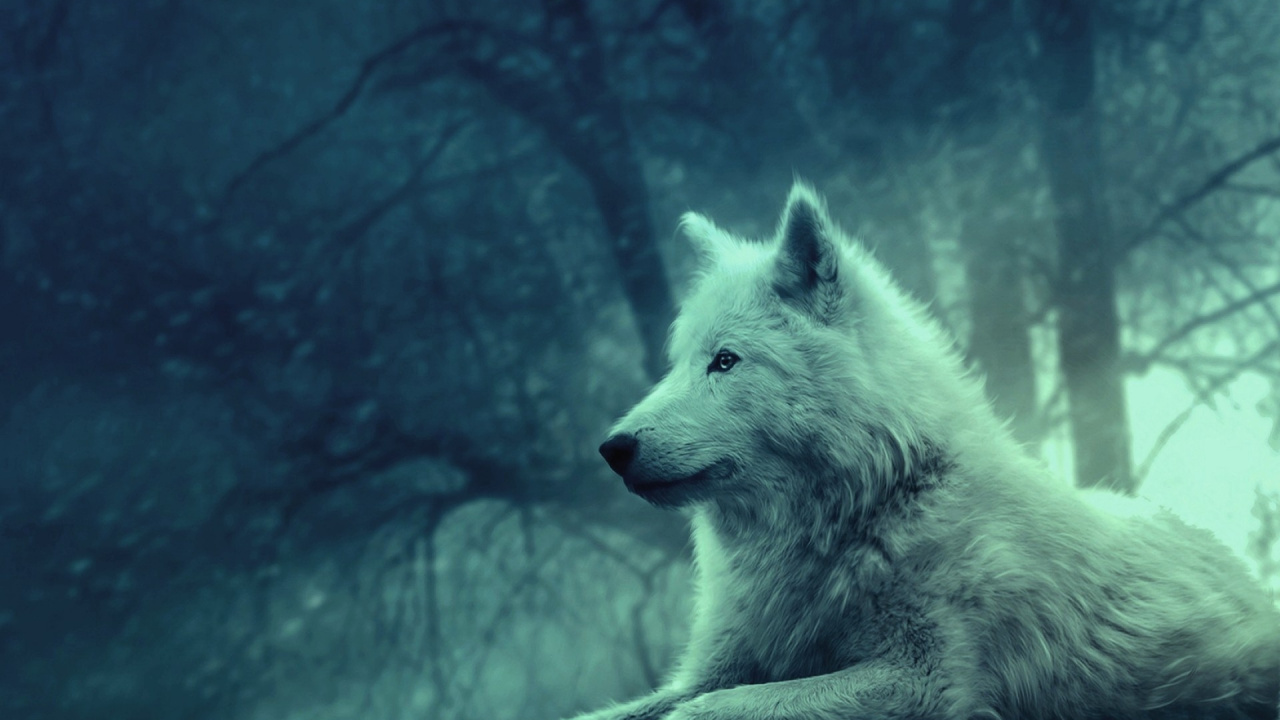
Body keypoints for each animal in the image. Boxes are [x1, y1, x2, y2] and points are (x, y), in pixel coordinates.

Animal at [577, 184, 1280, 720]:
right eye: (676, 364)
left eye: (725, 361)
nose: (612, 448)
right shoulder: (714, 667)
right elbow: (636, 708)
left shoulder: (925, 679)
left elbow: (712, 709)